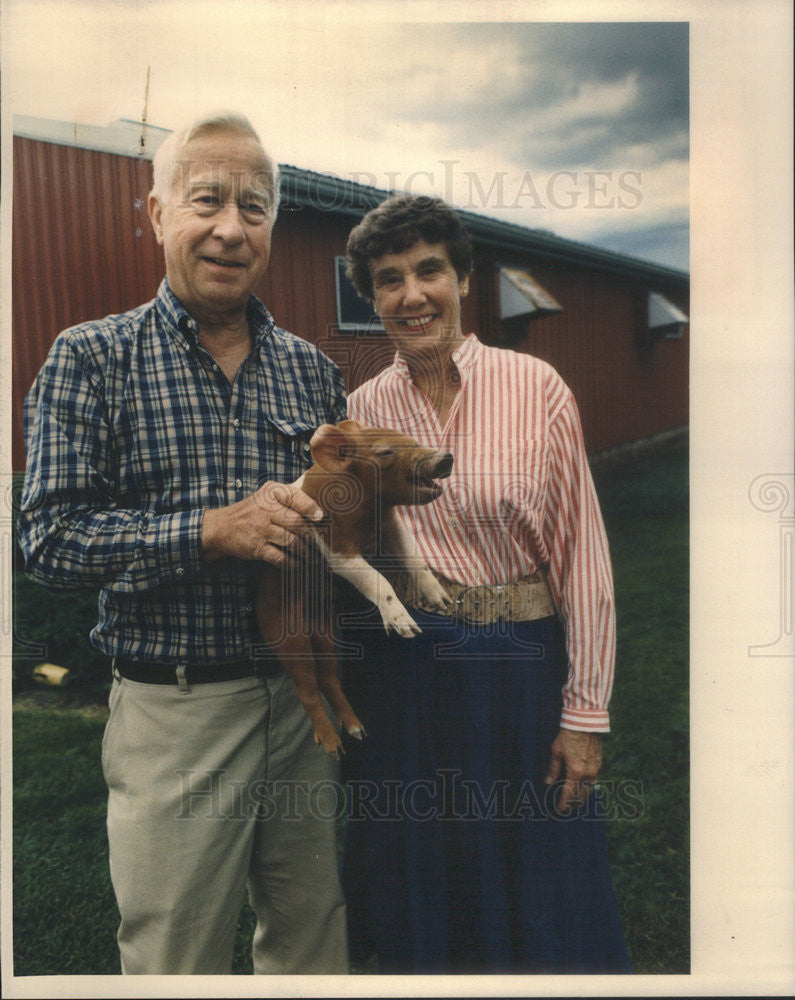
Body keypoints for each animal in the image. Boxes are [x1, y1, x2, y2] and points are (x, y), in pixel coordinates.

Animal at [255, 420, 454, 756]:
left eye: (412, 441)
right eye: (386, 451)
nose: (446, 457)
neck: (371, 510)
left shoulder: (390, 524)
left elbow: (413, 556)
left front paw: (444, 602)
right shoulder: (334, 544)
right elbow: (376, 579)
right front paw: (408, 629)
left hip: (324, 625)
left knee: (328, 676)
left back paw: (358, 731)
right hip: (278, 623)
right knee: (305, 684)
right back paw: (334, 747)